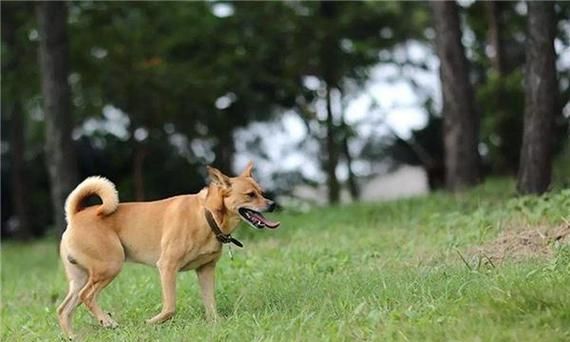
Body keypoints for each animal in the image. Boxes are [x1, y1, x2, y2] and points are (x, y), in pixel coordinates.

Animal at [56, 162, 278, 336]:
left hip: (81, 277)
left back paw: (73, 337)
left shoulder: (205, 270)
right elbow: (170, 307)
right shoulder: (167, 267)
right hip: (109, 266)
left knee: (64, 309)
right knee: (87, 296)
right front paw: (150, 323)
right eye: (250, 195)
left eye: (262, 192)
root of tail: (76, 215)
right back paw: (107, 321)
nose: (273, 204)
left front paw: (216, 324)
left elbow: (210, 304)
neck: (207, 214)